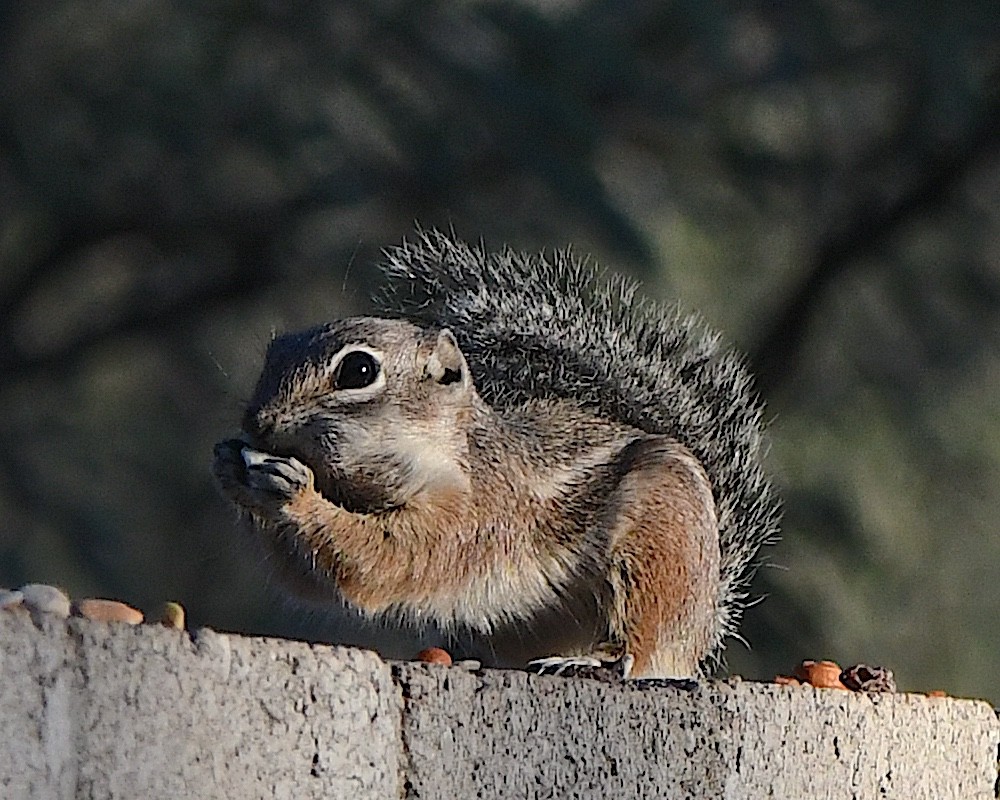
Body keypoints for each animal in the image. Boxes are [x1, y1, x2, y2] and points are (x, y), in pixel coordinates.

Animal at [212, 230, 779, 679]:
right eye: (273, 353)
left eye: (359, 370)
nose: (258, 423)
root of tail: (702, 628)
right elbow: (309, 580)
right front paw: (231, 468)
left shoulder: (475, 511)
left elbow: (387, 561)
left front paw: (298, 494)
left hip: (656, 552)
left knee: (640, 644)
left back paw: (592, 659)